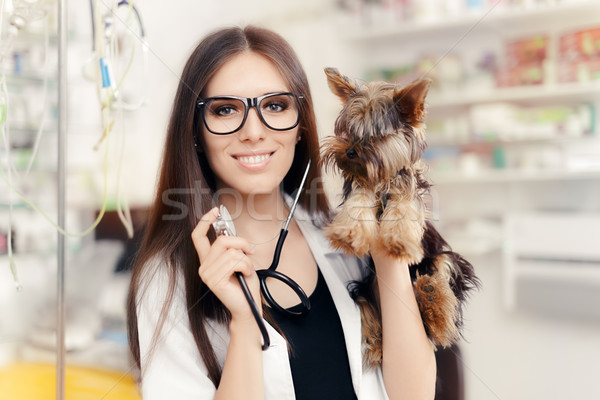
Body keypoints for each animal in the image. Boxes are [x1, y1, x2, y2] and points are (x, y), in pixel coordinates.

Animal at [322, 67, 480, 368]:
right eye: (348, 130)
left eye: (376, 136)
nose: (350, 151)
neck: (381, 179)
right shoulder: (361, 186)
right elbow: (358, 202)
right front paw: (348, 232)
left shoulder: (409, 191)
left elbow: (404, 209)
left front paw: (399, 241)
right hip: (363, 286)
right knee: (365, 303)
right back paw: (376, 343)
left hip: (443, 258)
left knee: (441, 279)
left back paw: (434, 306)